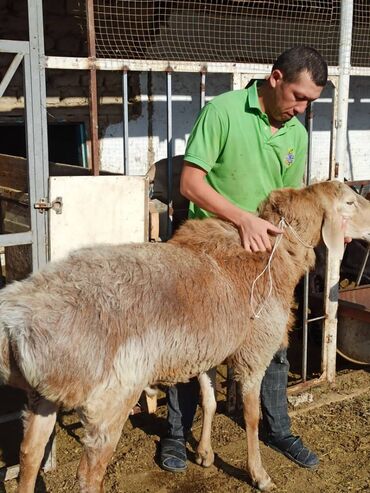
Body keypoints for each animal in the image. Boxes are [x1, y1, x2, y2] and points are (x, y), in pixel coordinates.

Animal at [0, 181, 368, 492]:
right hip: (109, 399)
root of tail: (16, 318)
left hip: (42, 395)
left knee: (29, 455)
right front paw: (259, 474)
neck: (272, 257)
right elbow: (251, 417)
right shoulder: (252, 353)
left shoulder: (208, 349)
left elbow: (209, 399)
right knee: (88, 475)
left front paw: (204, 454)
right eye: (349, 202)